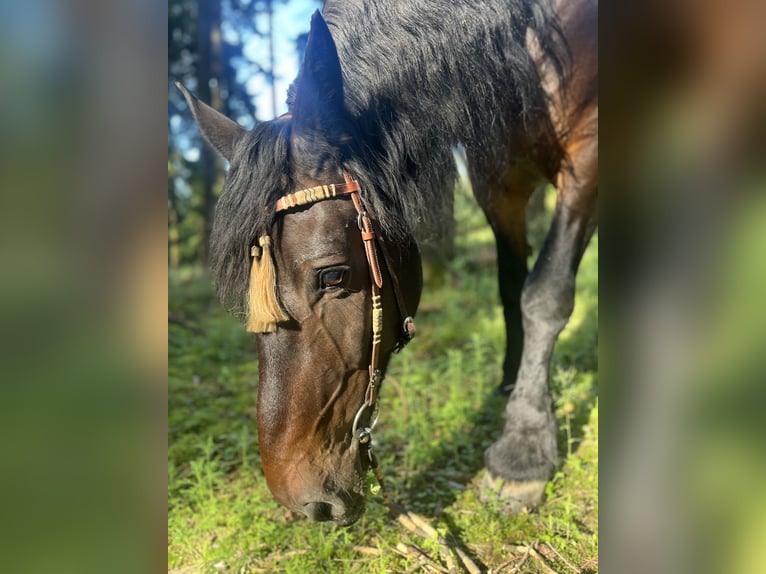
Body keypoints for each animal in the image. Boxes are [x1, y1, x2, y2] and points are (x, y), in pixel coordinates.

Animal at [178, 0, 600, 528]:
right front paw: (512, 385)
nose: (304, 502)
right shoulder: (495, 176)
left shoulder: (588, 153)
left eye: (333, 275)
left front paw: (522, 451)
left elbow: (545, 294)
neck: (522, 30)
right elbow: (509, 288)